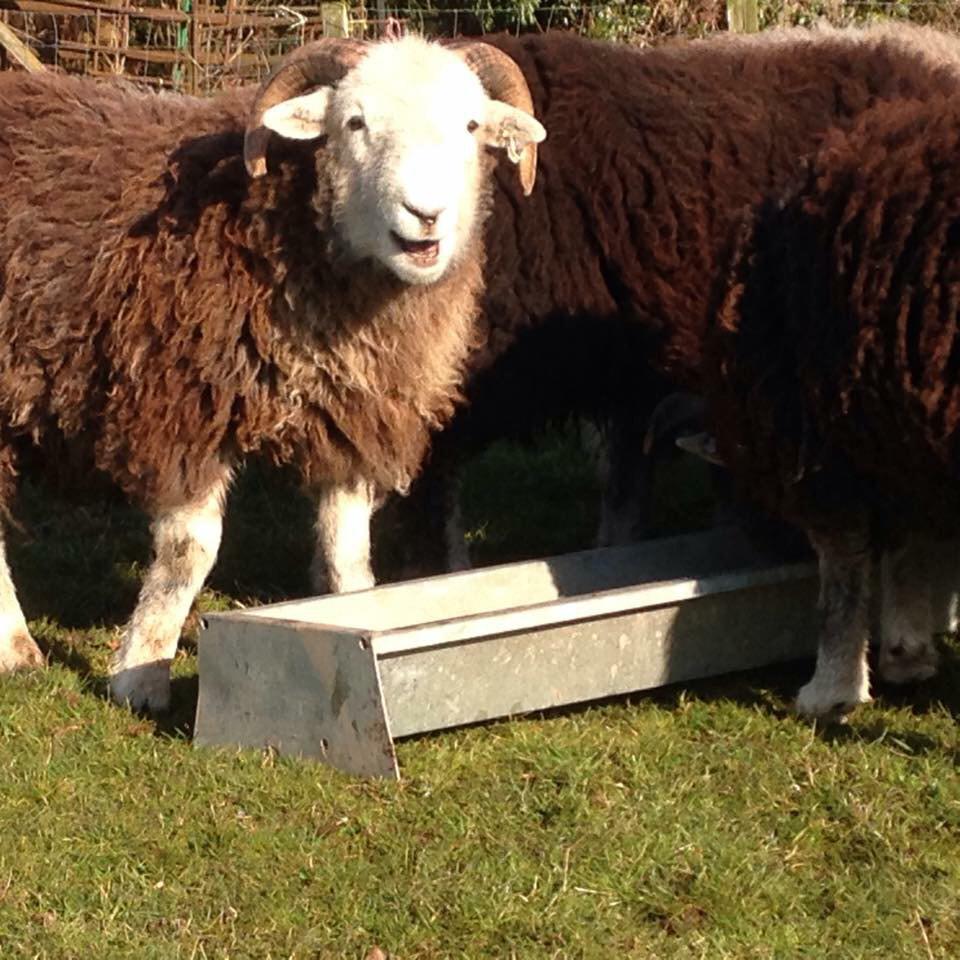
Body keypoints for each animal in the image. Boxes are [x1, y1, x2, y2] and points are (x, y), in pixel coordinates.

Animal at [0, 33, 545, 711]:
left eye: (471, 125)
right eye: (354, 122)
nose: (426, 214)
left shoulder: (347, 418)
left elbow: (349, 554)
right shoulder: (183, 404)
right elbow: (189, 553)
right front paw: (142, 672)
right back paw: (16, 647)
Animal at [704, 94, 960, 717]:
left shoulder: (818, 441)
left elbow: (842, 569)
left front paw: (832, 689)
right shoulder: (893, 428)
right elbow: (912, 539)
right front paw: (907, 650)